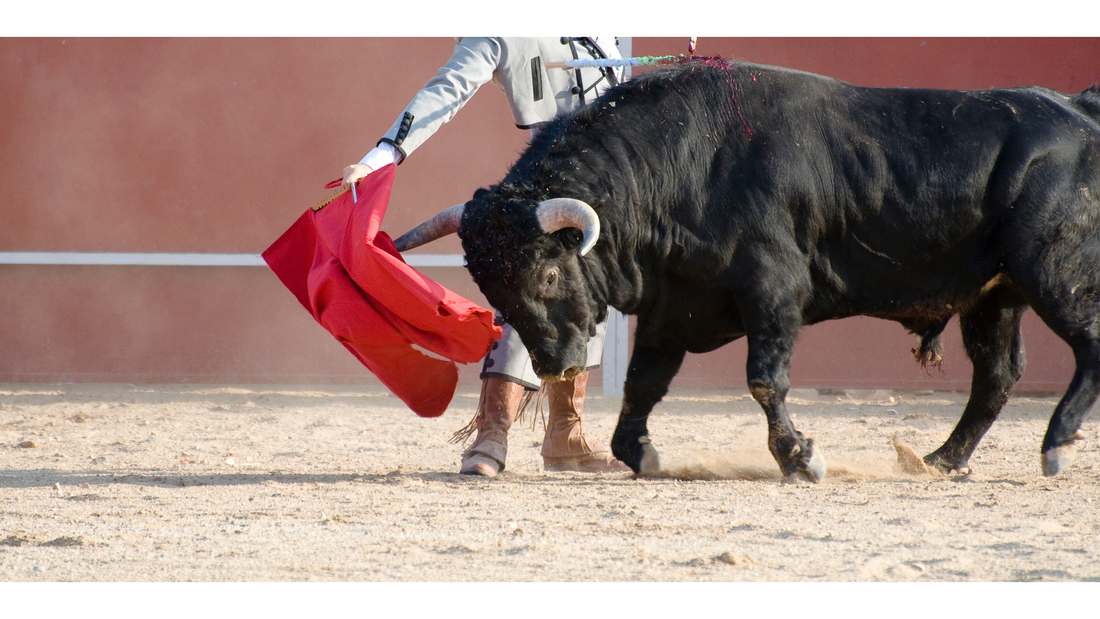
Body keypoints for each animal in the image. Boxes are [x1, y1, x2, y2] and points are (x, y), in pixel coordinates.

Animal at [394, 58, 1100, 482]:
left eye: (544, 276)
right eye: (490, 287)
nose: (557, 364)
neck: (683, 168)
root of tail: (1078, 109)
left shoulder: (773, 291)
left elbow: (765, 379)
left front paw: (801, 459)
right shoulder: (673, 306)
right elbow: (643, 384)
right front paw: (641, 453)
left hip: (1054, 273)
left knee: (1084, 347)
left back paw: (1056, 446)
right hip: (994, 295)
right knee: (996, 376)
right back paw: (939, 459)